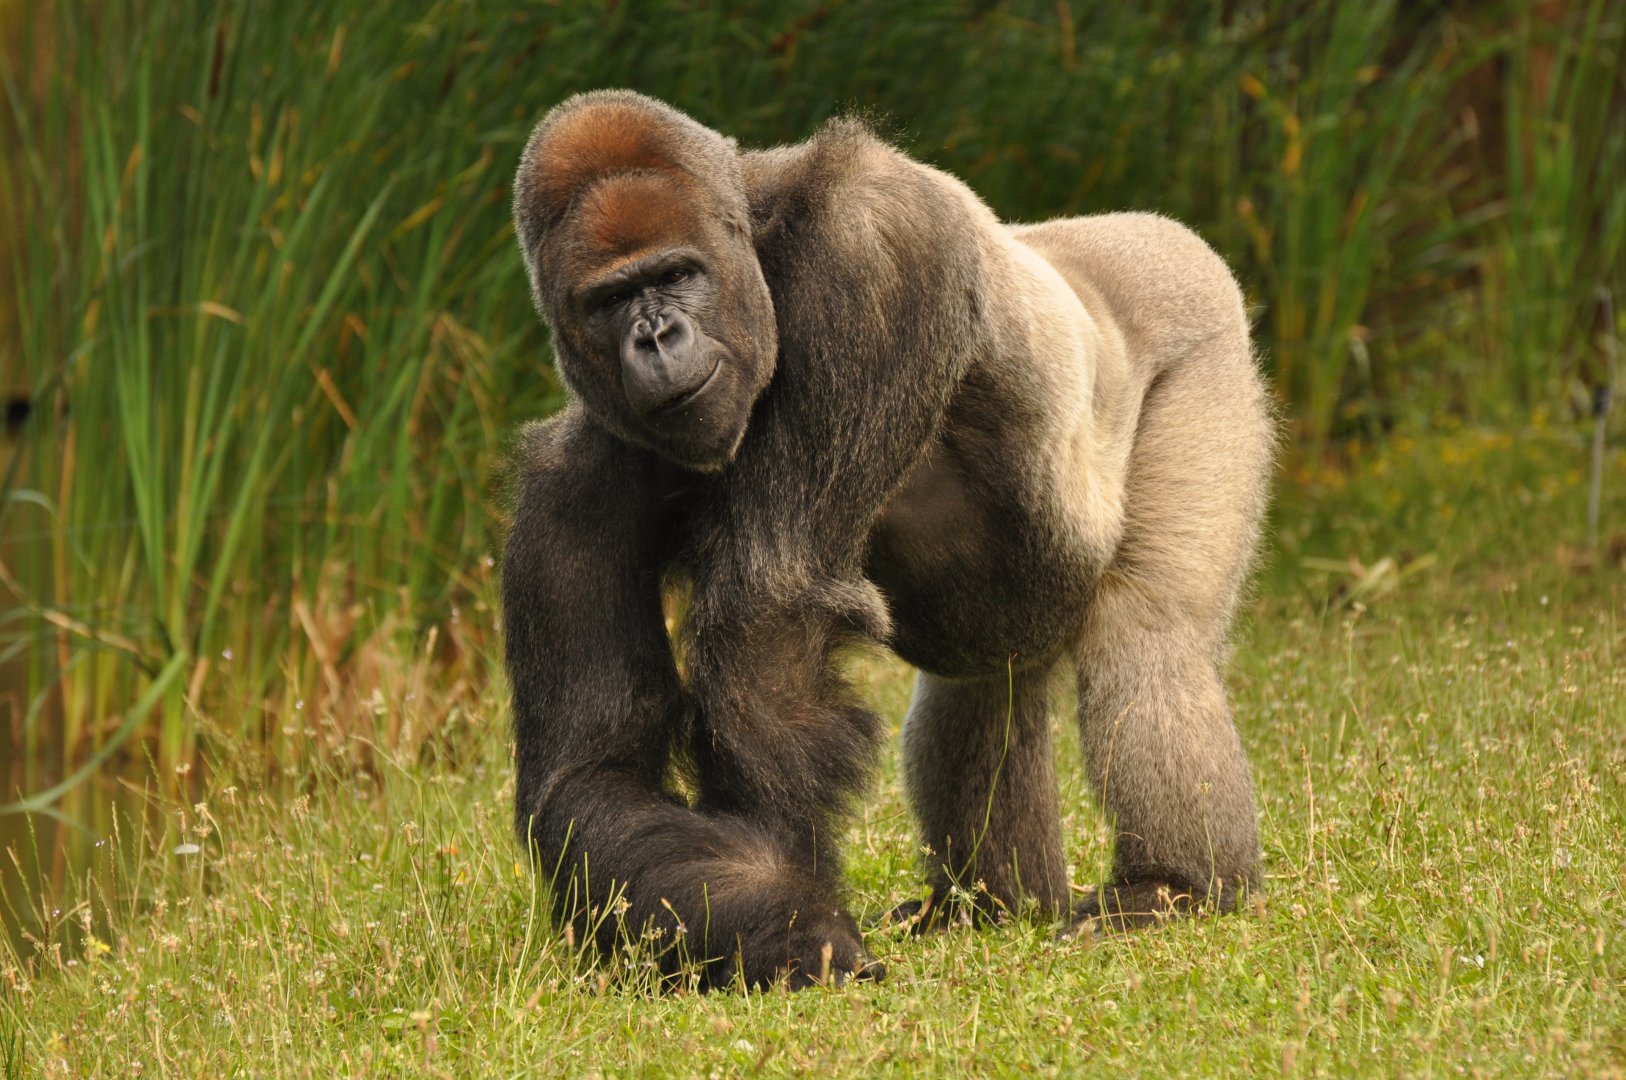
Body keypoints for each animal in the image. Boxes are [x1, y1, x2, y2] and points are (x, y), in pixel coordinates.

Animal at [504, 90, 1273, 989]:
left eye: (675, 276)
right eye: (609, 300)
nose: (654, 337)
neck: (758, 242)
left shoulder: (872, 245)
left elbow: (772, 614)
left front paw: (792, 917)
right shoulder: (570, 491)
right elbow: (597, 771)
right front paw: (777, 918)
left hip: (1194, 313)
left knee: (1150, 634)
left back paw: (1174, 884)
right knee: (982, 690)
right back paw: (984, 904)